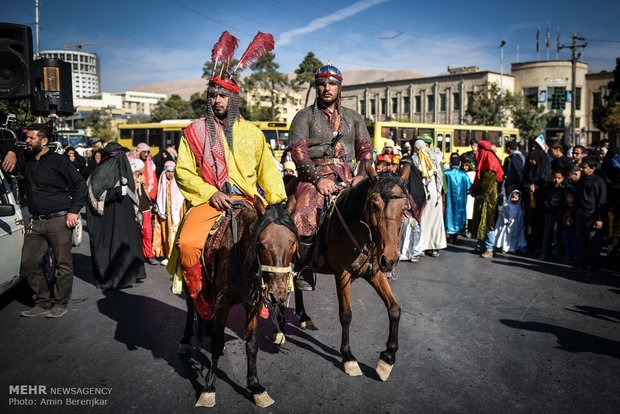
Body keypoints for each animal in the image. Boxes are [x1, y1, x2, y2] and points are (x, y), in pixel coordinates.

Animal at [179, 196, 298, 408]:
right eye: (261, 244)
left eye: (292, 243)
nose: (278, 295)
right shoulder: (224, 303)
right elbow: (217, 343)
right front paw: (208, 388)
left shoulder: (253, 303)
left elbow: (251, 344)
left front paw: (255, 386)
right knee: (192, 305)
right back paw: (185, 340)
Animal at [278, 164, 410, 382]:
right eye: (374, 205)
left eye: (405, 207)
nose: (390, 260)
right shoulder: (343, 274)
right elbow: (346, 315)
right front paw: (348, 357)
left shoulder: (375, 273)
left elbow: (394, 309)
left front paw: (387, 358)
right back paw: (279, 327)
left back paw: (304, 316)